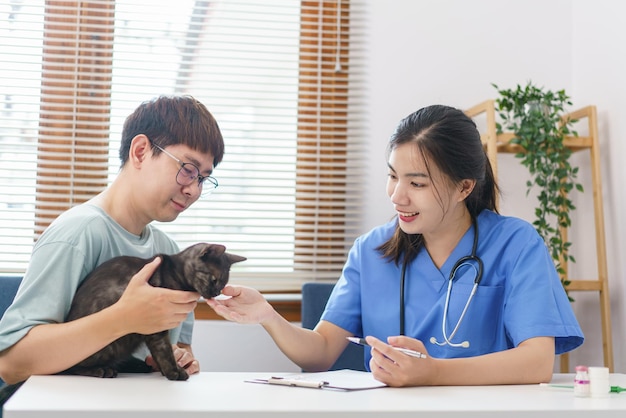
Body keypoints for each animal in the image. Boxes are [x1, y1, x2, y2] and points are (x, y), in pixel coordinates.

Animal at [0, 242, 245, 404]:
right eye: (214, 279)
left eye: (223, 283)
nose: (215, 293)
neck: (176, 274)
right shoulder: (156, 326)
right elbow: (164, 351)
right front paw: (174, 373)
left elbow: (161, 353)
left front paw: (168, 370)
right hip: (107, 344)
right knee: (69, 367)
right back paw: (103, 370)